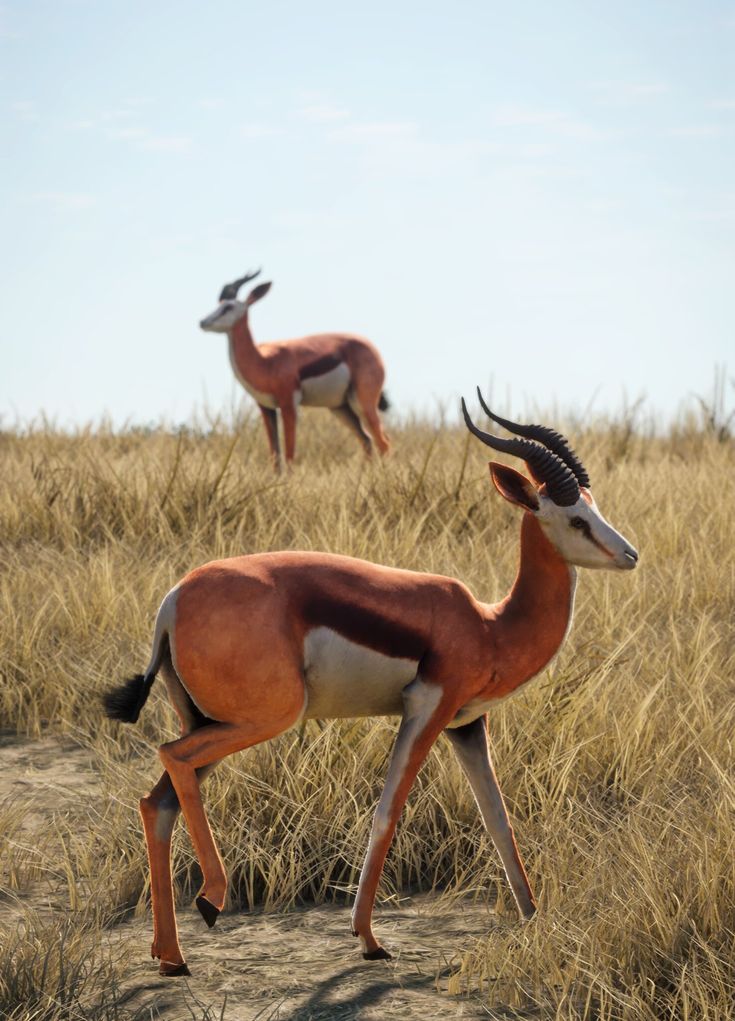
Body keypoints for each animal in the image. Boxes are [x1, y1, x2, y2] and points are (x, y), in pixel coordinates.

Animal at [102, 394, 637, 976]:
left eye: (595, 506)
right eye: (575, 517)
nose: (629, 555)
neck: (489, 626)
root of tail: (172, 601)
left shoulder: (467, 725)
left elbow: (498, 819)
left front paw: (532, 916)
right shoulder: (427, 708)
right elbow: (387, 810)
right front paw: (368, 939)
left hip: (211, 722)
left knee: (159, 802)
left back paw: (171, 956)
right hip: (260, 720)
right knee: (172, 757)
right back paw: (210, 901)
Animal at [194, 269, 389, 465]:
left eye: (228, 307)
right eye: (218, 304)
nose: (203, 322)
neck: (264, 361)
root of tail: (372, 349)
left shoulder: (289, 405)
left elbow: (289, 454)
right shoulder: (265, 407)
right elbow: (275, 455)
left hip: (362, 402)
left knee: (383, 442)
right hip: (340, 407)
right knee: (366, 440)